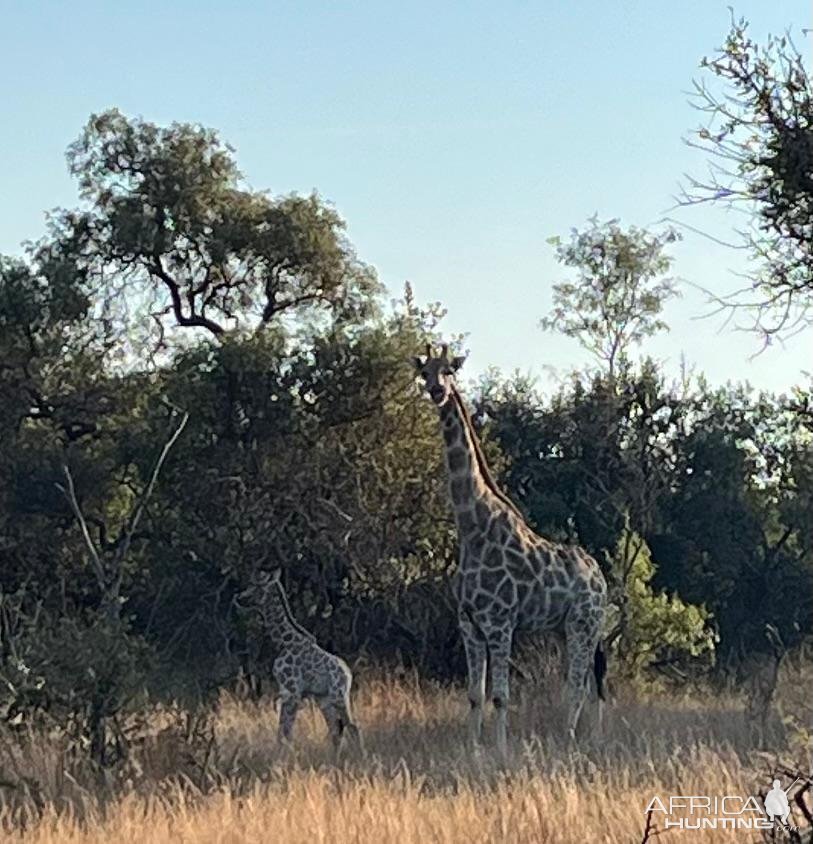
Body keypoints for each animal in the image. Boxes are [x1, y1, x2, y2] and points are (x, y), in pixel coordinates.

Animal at [236, 568, 360, 752]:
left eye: (255, 585)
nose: (238, 597)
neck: (284, 642)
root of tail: (348, 674)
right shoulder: (289, 693)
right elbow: (285, 732)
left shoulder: (291, 691)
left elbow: (284, 732)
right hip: (325, 699)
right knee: (336, 730)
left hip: (338, 696)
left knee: (352, 727)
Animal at [412, 342, 608, 752]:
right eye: (424, 373)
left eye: (449, 370)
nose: (437, 392)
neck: (471, 527)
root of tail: (601, 578)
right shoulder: (469, 623)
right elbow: (474, 695)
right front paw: (472, 749)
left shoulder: (499, 621)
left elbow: (501, 695)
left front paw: (501, 750)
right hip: (566, 627)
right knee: (590, 682)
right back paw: (590, 738)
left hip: (585, 623)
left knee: (580, 684)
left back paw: (569, 739)